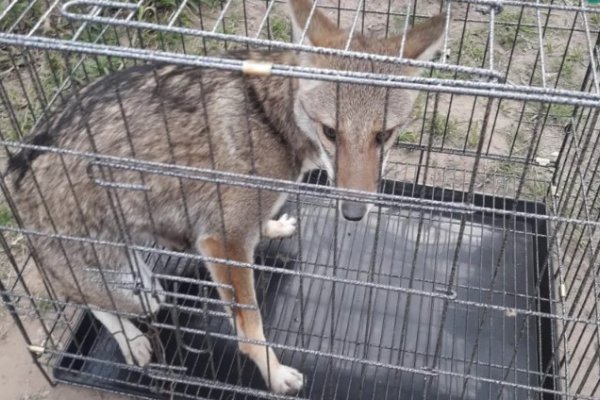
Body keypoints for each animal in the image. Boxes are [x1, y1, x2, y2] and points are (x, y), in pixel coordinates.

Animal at [4, 0, 446, 394]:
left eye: (383, 136)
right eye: (330, 132)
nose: (354, 213)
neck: (270, 120)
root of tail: (15, 168)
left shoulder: (236, 230)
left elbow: (262, 225)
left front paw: (274, 226)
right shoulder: (222, 242)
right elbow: (250, 330)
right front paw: (274, 374)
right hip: (133, 286)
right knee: (85, 298)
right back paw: (132, 340)